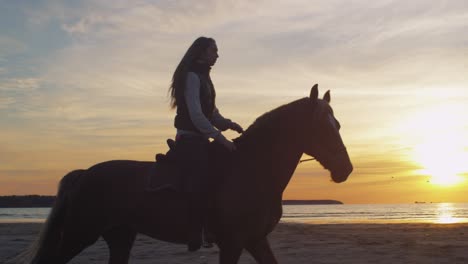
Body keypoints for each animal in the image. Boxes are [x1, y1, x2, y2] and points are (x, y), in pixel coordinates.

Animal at [12, 83, 352, 262]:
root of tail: (84, 174)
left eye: (338, 124)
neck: (254, 172)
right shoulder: (232, 242)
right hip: (78, 235)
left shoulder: (256, 240)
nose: (346, 169)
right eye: (323, 128)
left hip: (120, 237)